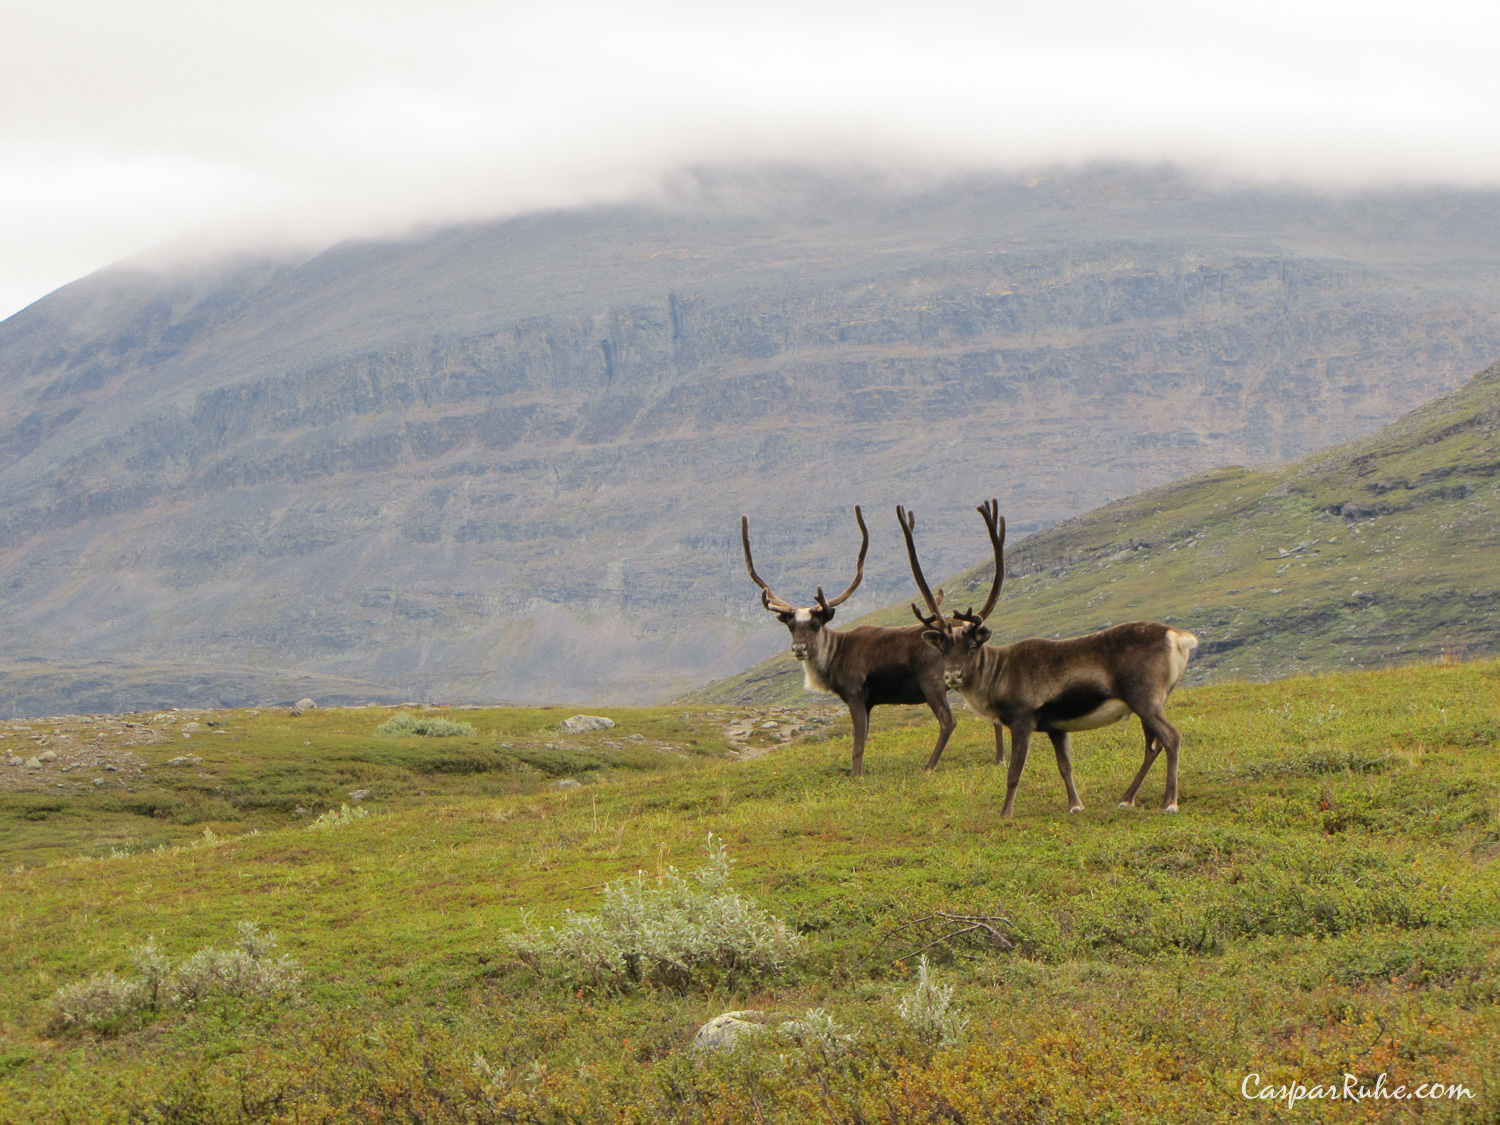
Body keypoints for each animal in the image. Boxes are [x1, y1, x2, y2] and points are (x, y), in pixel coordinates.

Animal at [741, 506, 956, 777]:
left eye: (816, 624)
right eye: (790, 626)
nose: (799, 648)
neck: (835, 655)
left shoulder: (856, 694)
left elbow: (857, 744)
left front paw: (856, 776)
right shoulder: (870, 702)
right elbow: (863, 739)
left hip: (933, 684)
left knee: (948, 721)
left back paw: (929, 766)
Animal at [898, 500, 1198, 816]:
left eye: (972, 646)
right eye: (942, 649)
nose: (952, 675)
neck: (996, 676)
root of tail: (1178, 638)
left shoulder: (1022, 718)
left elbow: (1014, 771)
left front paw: (1005, 813)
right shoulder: (1057, 727)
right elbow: (1065, 766)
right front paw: (1075, 805)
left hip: (1144, 697)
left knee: (1171, 737)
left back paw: (1169, 802)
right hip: (1150, 702)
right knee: (1153, 745)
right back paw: (1127, 798)